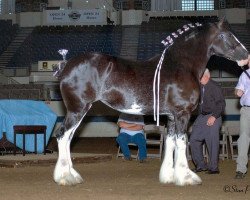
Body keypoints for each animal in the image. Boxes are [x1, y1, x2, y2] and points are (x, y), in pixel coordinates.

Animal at [52, 18, 248, 186]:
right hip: (77, 110)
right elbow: (182, 142)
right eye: (228, 35)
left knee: (68, 138)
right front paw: (186, 177)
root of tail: (66, 65)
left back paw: (72, 175)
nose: (246, 55)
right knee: (62, 136)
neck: (181, 65)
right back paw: (65, 177)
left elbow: (170, 142)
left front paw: (168, 177)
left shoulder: (171, 116)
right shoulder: (182, 114)